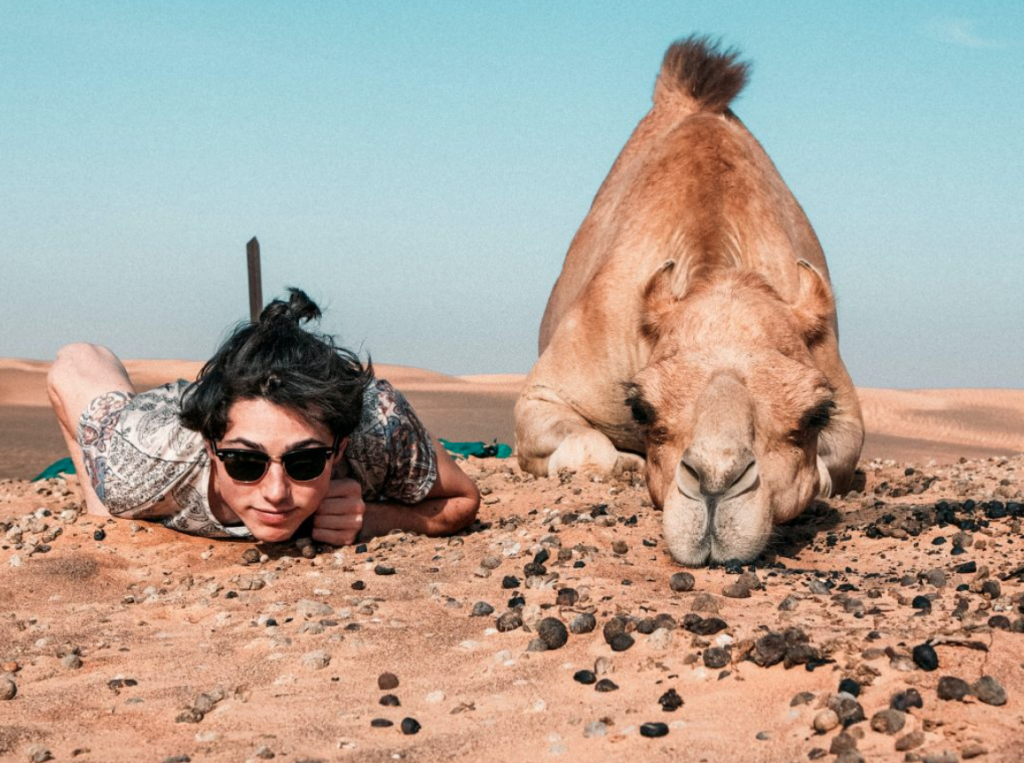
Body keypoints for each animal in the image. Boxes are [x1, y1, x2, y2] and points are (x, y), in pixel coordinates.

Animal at [512, 37, 864, 565]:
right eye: (641, 409)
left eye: (815, 413)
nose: (715, 486)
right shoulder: (549, 390)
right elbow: (592, 454)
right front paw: (625, 464)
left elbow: (826, 472)